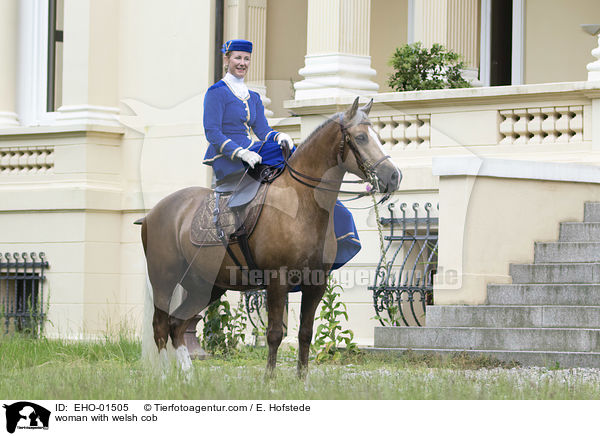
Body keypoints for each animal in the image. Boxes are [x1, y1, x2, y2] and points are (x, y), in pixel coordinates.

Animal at [138, 97, 400, 376]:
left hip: (205, 285)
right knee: (161, 327)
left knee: (177, 324)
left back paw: (187, 378)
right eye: (360, 137)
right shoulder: (278, 280)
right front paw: (269, 379)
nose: (394, 175)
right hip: (164, 278)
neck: (301, 203)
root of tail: (152, 213)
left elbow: (305, 334)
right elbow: (274, 334)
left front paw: (302, 379)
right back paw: (164, 376)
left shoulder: (316, 284)